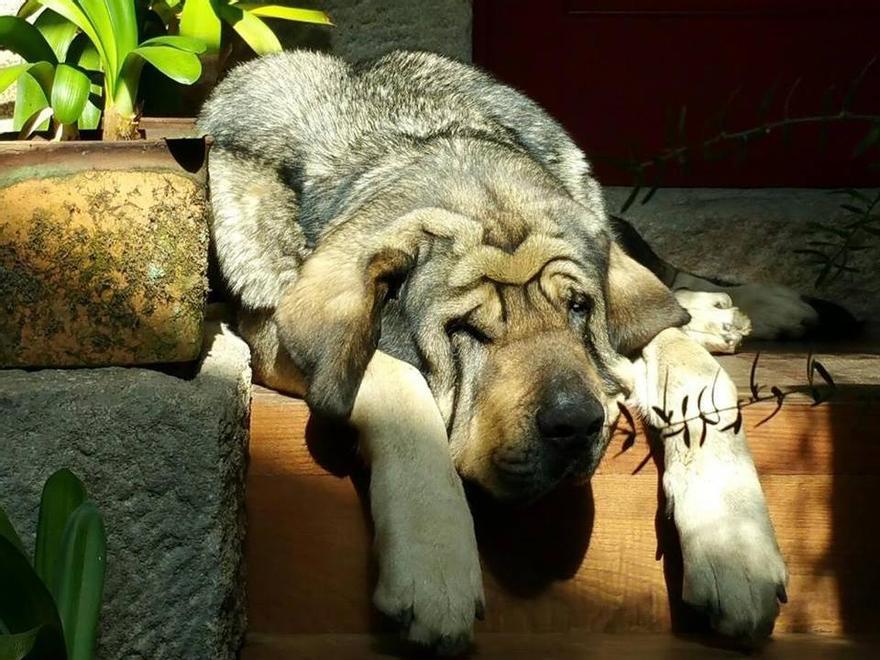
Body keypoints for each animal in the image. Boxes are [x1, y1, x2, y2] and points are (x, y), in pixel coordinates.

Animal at [196, 49, 828, 652]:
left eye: (578, 308)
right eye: (464, 330)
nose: (575, 425)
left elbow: (699, 376)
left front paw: (735, 549)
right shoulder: (275, 329)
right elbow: (398, 383)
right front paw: (435, 565)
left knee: (658, 272)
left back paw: (744, 309)